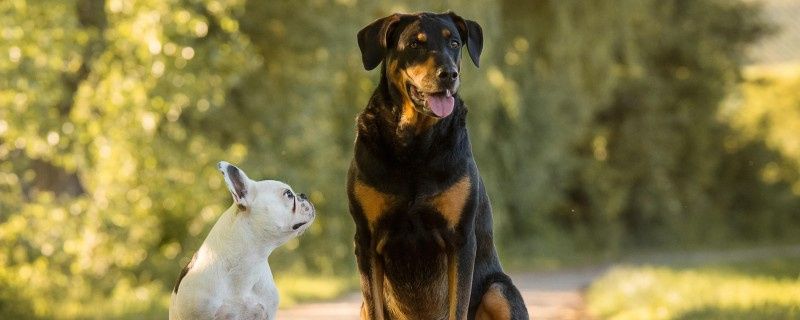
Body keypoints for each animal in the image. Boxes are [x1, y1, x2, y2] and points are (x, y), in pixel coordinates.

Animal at [346, 11, 528, 318]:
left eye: (454, 42)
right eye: (414, 44)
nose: (448, 75)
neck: (415, 144)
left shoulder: (460, 239)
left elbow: (458, 306)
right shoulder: (366, 240)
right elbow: (375, 305)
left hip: (500, 290)